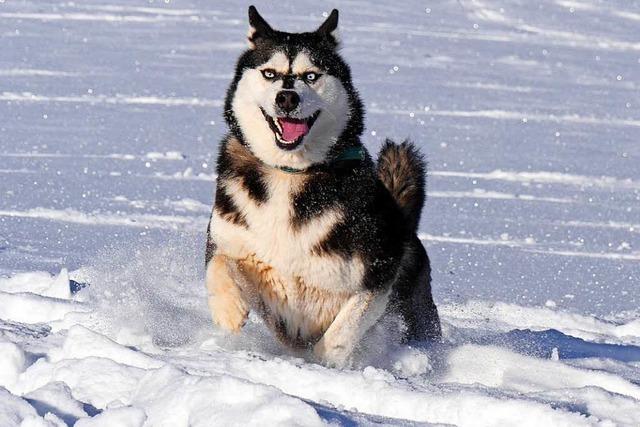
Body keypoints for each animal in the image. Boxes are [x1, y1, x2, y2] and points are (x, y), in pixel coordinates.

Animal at [206, 5, 440, 368]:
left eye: (311, 76)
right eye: (270, 73)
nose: (286, 98)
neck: (290, 173)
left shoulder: (377, 272)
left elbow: (343, 330)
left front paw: (325, 363)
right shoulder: (234, 243)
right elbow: (218, 263)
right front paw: (227, 310)